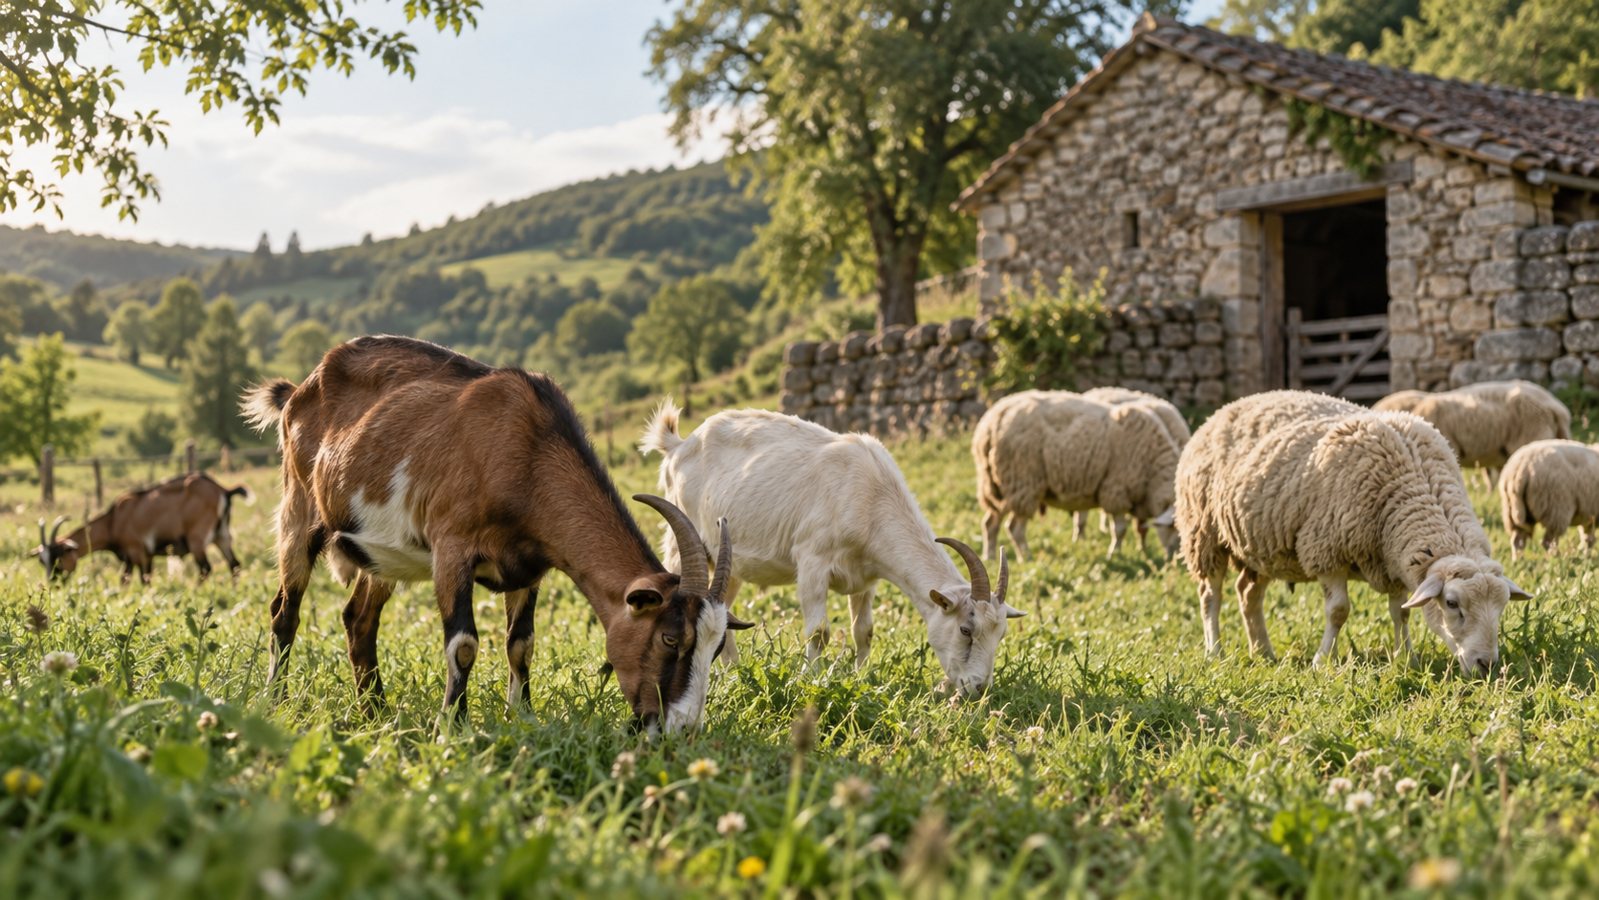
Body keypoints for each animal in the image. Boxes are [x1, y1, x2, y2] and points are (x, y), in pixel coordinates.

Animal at [28, 473, 250, 583]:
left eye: (58, 557)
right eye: (42, 561)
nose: (53, 582)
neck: (114, 520)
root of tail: (223, 490)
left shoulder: (136, 551)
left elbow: (141, 580)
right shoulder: (138, 556)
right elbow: (128, 580)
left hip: (197, 539)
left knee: (206, 568)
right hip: (222, 536)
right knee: (235, 565)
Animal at [243, 336, 749, 732]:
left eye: (715, 649)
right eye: (670, 639)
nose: (681, 728)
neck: (529, 453)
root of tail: (297, 391)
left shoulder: (528, 568)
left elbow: (521, 645)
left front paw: (521, 716)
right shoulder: (452, 548)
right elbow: (464, 645)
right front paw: (452, 726)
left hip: (379, 551)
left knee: (358, 620)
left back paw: (375, 712)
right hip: (298, 508)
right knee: (285, 611)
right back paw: (277, 701)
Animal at [640, 401, 1022, 697]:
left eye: (1001, 633)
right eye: (965, 630)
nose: (978, 687)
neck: (871, 496)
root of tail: (677, 444)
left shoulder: (867, 577)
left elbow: (864, 631)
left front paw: (862, 675)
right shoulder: (812, 560)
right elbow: (819, 631)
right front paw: (812, 678)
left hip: (729, 560)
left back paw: (733, 670)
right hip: (684, 540)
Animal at [1175, 390, 1530, 674]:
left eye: (1502, 606)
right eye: (1452, 603)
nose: (1486, 664)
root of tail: (1223, 410)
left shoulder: (1394, 562)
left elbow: (1400, 613)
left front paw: (1407, 658)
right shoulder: (1325, 551)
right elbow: (1339, 611)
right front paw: (1321, 661)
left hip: (1257, 544)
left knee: (1248, 593)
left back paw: (1263, 651)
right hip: (1203, 533)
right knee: (1211, 595)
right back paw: (1215, 650)